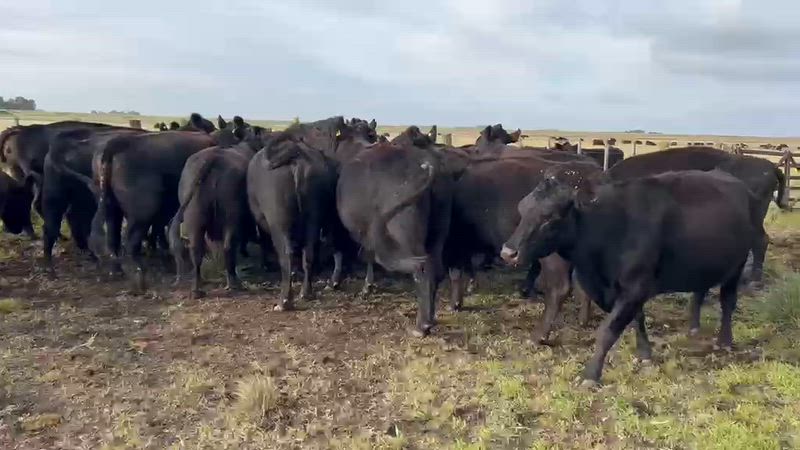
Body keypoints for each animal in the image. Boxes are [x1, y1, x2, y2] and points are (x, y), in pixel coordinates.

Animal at [169, 128, 264, 298]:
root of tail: (212, 158)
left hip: (194, 217)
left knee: (196, 250)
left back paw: (197, 290)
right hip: (231, 215)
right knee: (228, 246)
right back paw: (233, 283)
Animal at [501, 163, 759, 385]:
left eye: (550, 217)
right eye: (522, 208)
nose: (508, 252)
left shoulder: (635, 287)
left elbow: (607, 331)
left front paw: (590, 376)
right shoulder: (629, 290)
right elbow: (638, 319)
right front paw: (644, 353)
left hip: (737, 266)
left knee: (727, 301)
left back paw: (724, 341)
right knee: (700, 291)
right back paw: (694, 328)